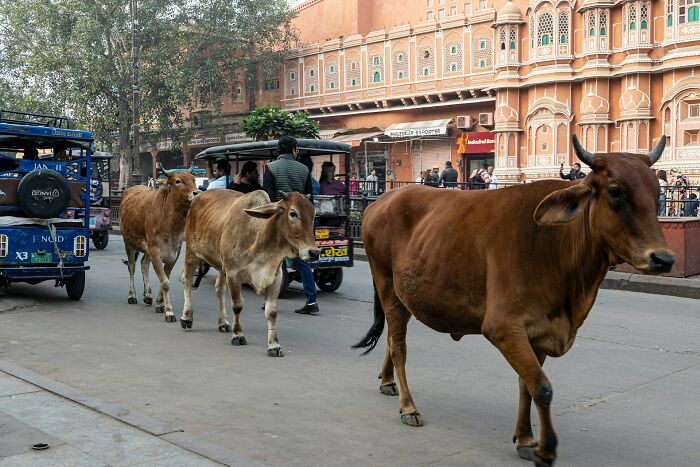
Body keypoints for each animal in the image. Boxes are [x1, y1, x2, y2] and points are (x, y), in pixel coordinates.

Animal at [120, 164, 199, 322]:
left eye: (194, 180)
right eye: (178, 181)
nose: (196, 192)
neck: (170, 222)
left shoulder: (173, 254)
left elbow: (165, 279)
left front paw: (159, 303)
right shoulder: (155, 252)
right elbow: (165, 283)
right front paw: (169, 311)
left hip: (146, 249)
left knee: (144, 264)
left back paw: (147, 295)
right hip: (128, 243)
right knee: (132, 267)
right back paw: (132, 295)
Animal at [179, 189, 319, 357]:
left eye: (313, 214)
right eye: (293, 213)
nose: (314, 252)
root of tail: (198, 195)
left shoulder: (275, 278)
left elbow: (271, 312)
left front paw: (274, 345)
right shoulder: (233, 275)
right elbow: (237, 306)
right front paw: (238, 335)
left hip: (220, 265)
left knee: (219, 289)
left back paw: (223, 322)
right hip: (191, 253)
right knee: (187, 280)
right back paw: (187, 317)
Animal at [354, 136, 673, 466]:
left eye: (656, 192)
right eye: (615, 191)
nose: (663, 259)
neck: (555, 245)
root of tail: (381, 200)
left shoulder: (539, 331)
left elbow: (527, 386)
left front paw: (525, 438)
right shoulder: (504, 328)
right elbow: (542, 388)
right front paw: (545, 449)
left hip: (407, 294)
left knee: (392, 338)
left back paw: (386, 381)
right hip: (386, 285)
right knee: (399, 346)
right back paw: (408, 406)